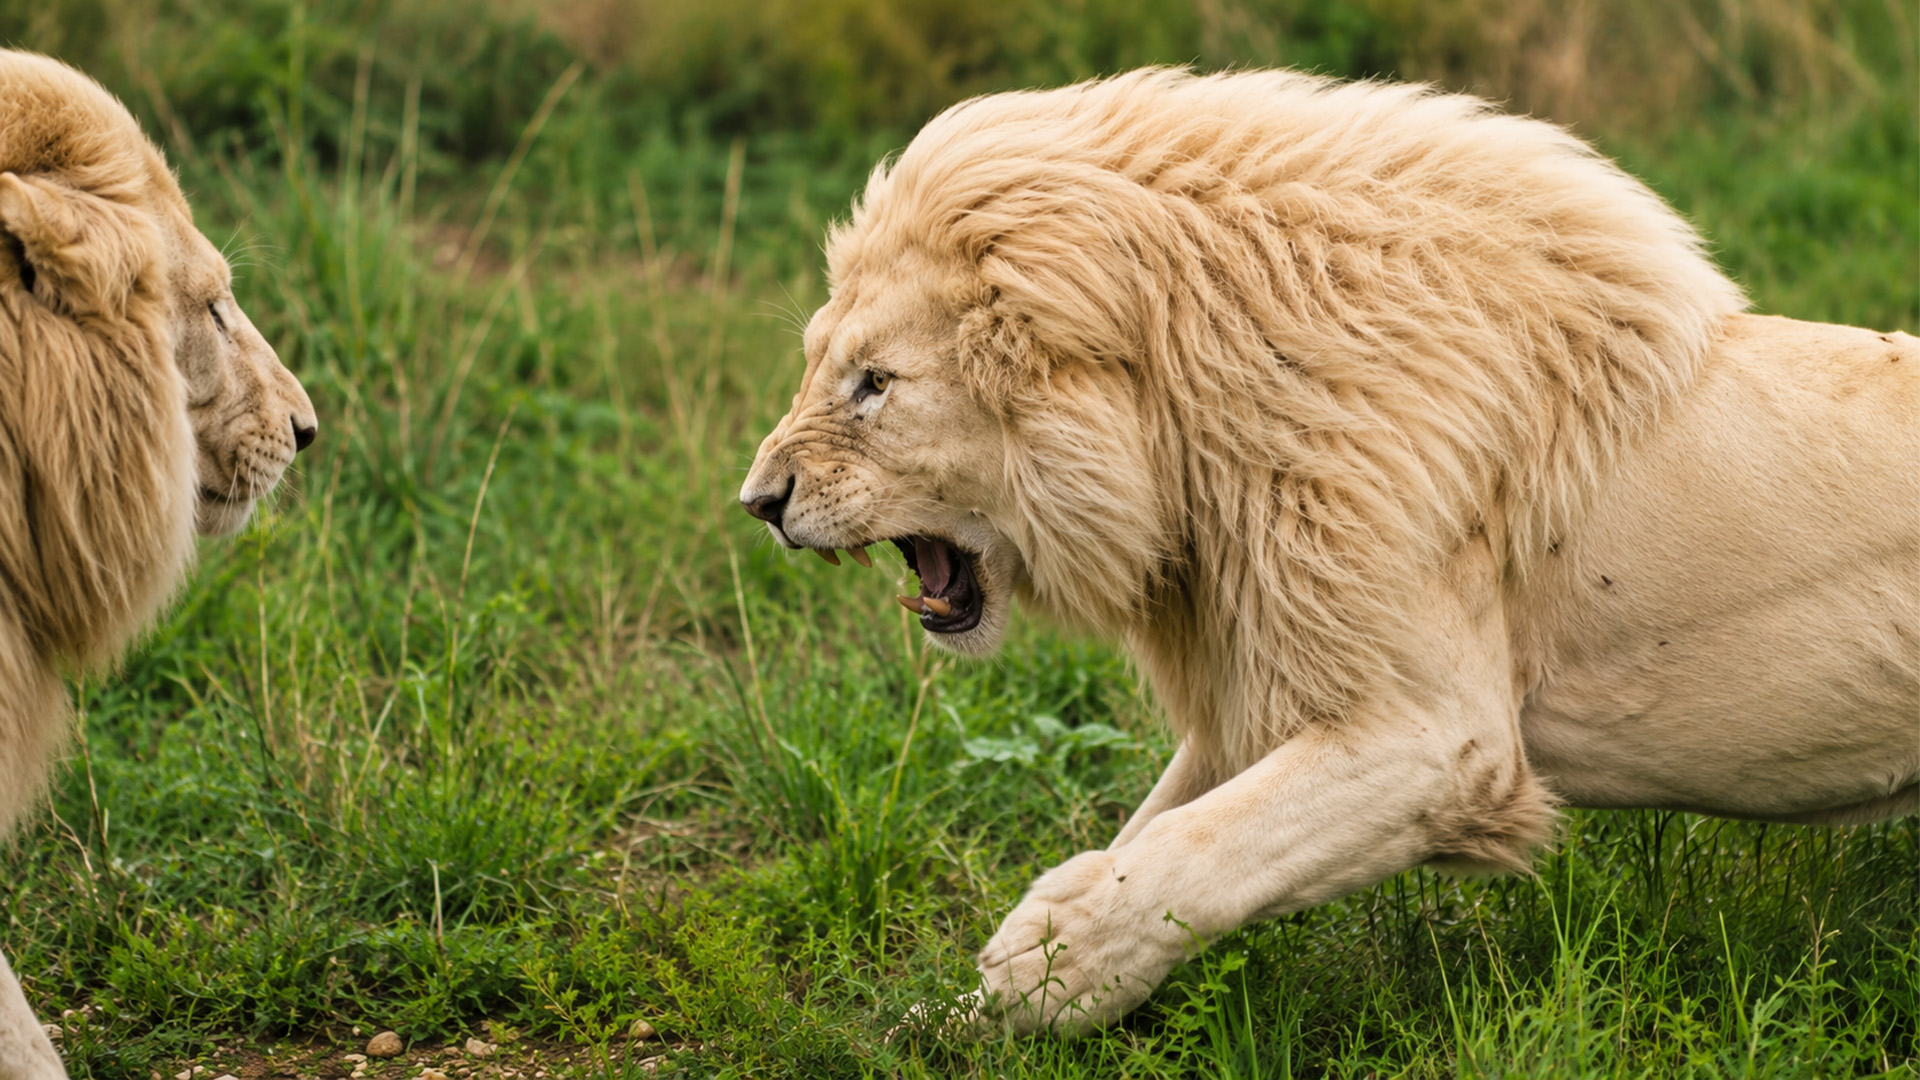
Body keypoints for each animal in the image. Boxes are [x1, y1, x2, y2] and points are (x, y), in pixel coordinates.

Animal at [739, 68, 1918, 1034]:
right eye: (826, 366)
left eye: (874, 383)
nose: (758, 502)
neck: (1191, 442)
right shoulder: (1258, 684)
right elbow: (1157, 828)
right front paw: (946, 1015)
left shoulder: (1443, 739)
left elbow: (1195, 852)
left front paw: (1048, 964)